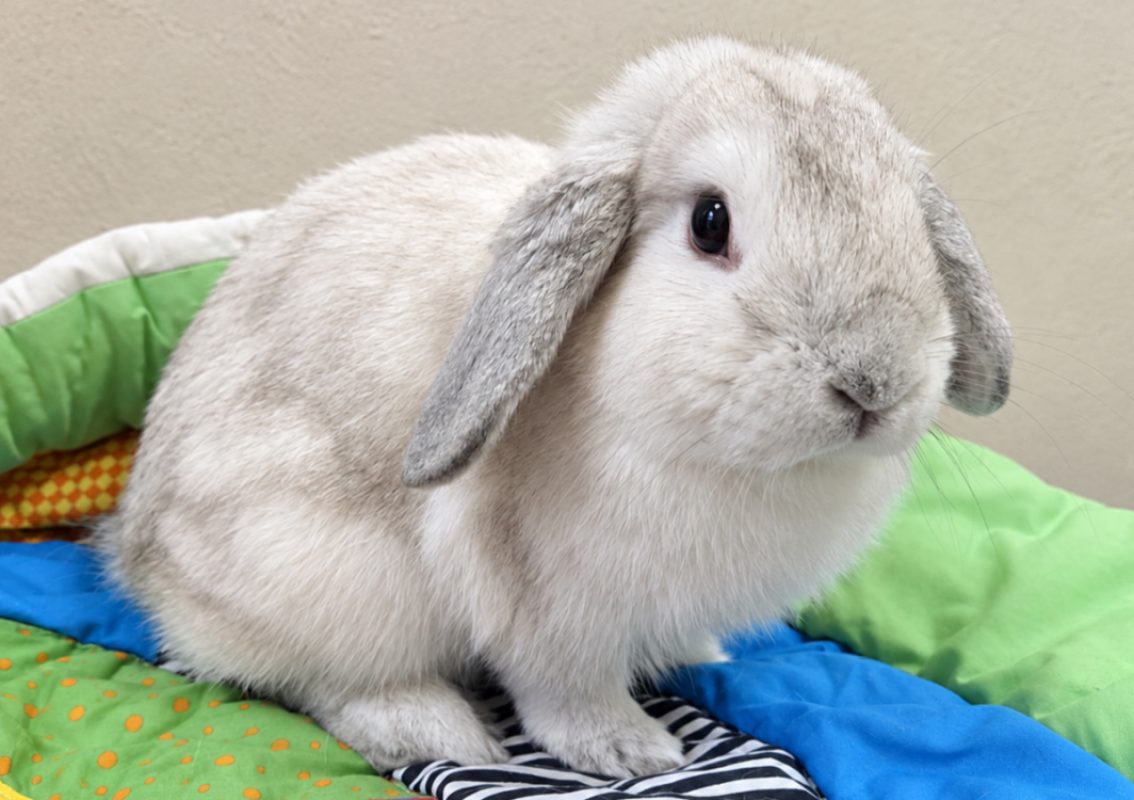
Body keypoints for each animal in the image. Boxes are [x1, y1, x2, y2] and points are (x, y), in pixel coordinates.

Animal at [99, 36, 1012, 778]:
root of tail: (138, 558)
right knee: (312, 678)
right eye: (710, 223)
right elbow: (563, 694)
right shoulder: (546, 608)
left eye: (911, 219)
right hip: (318, 573)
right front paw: (629, 750)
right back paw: (433, 729)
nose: (873, 383)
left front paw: (699, 653)